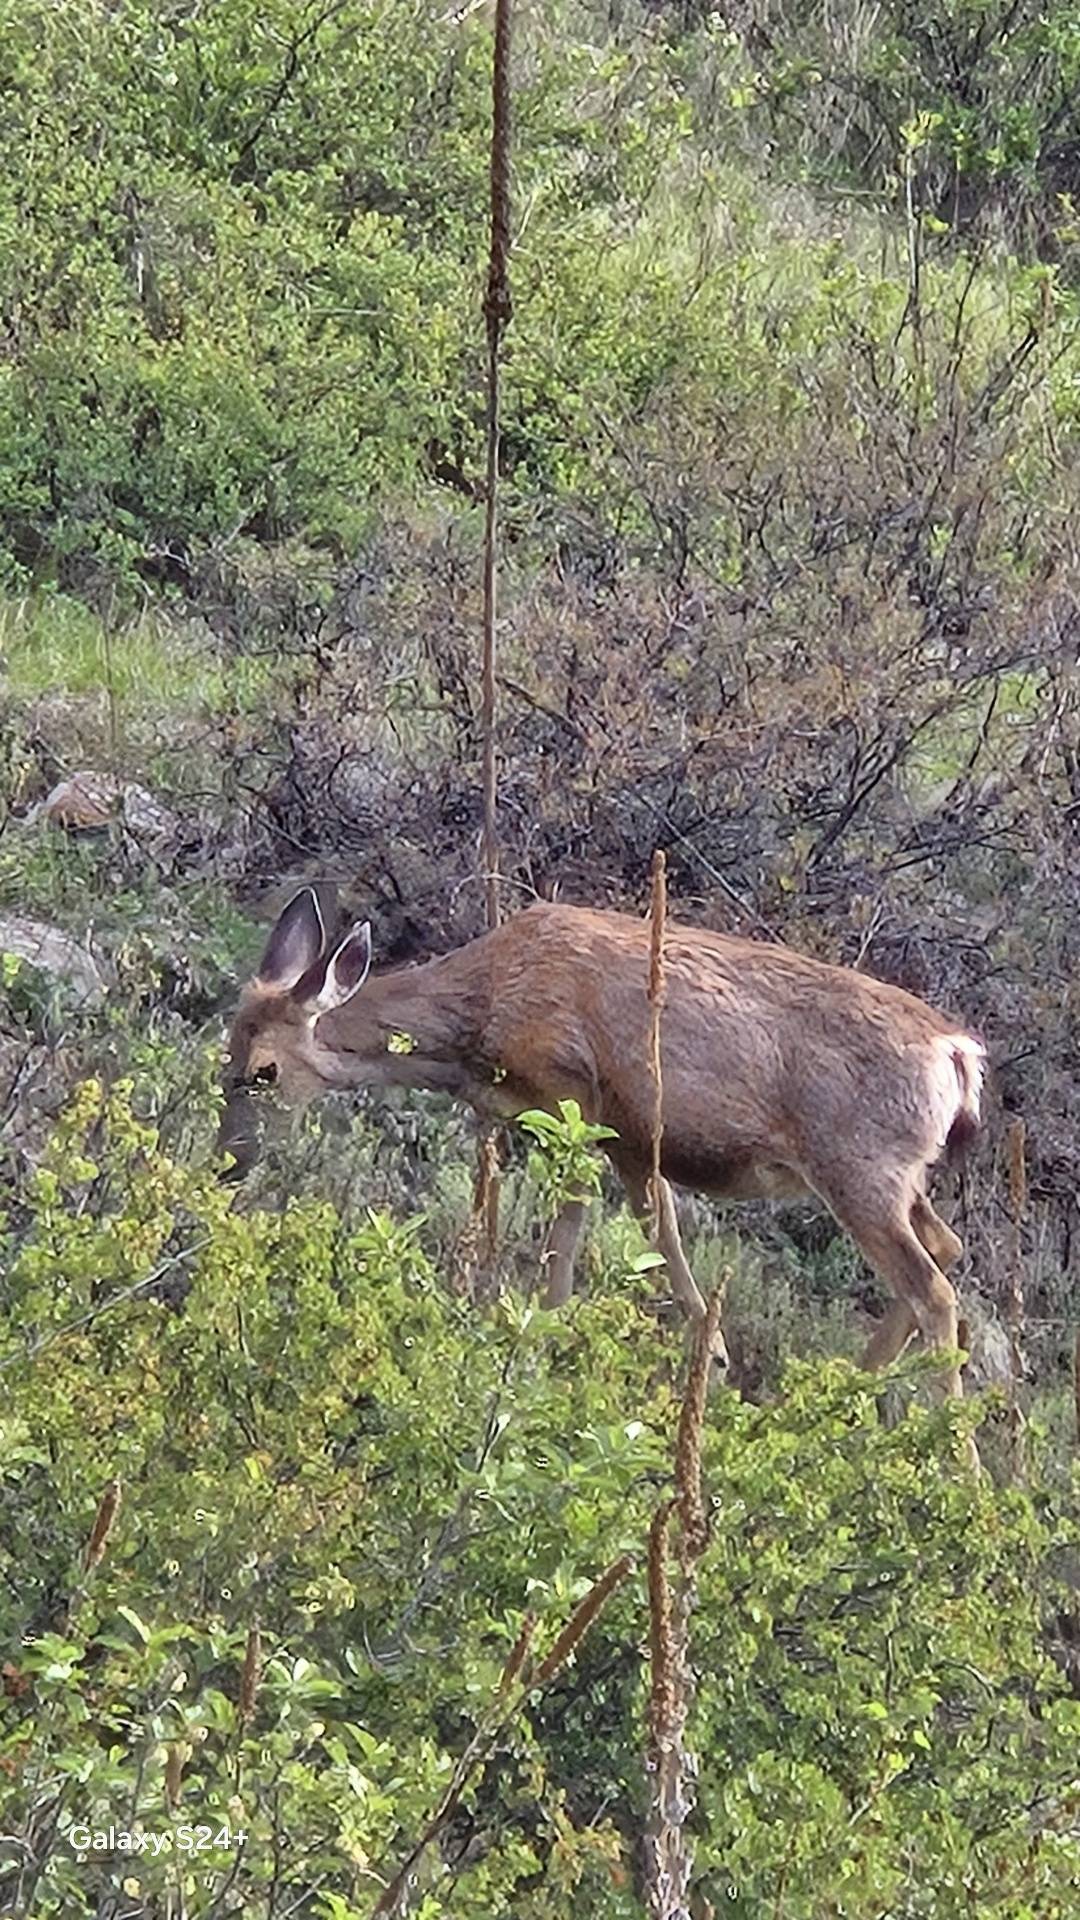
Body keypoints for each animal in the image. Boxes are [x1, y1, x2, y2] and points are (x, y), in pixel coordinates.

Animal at [220, 888, 986, 1406]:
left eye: (264, 1071)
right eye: (224, 1050)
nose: (229, 1162)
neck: (483, 1017)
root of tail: (956, 1055)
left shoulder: (576, 1096)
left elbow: (570, 1231)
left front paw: (543, 1336)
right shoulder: (631, 1133)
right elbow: (659, 1229)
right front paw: (711, 1358)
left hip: (856, 1166)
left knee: (932, 1286)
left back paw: (954, 1456)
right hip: (896, 1176)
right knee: (945, 1250)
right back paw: (843, 1395)